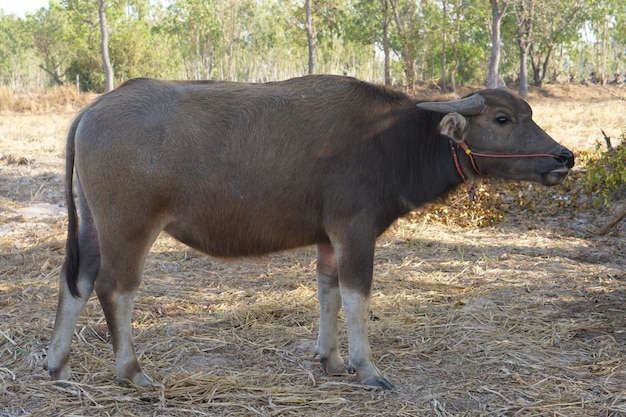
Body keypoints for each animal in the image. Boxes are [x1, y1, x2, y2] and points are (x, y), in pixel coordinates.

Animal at [45, 75, 572, 390]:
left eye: (528, 115)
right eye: (503, 119)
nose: (564, 157)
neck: (392, 141)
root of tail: (91, 112)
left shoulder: (327, 238)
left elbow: (327, 292)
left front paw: (330, 358)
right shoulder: (354, 229)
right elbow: (357, 296)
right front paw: (367, 368)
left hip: (93, 223)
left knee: (77, 282)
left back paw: (58, 362)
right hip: (129, 226)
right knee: (116, 289)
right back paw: (131, 371)